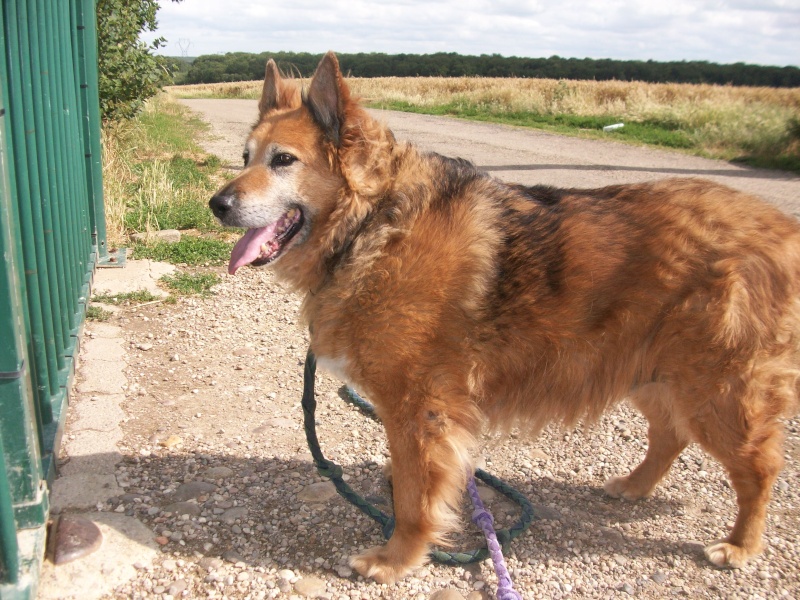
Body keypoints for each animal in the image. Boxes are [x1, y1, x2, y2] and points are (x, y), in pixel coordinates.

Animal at [211, 52, 800, 584]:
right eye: (245, 156)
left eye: (283, 160)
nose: (217, 204)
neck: (372, 222)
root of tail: (780, 226)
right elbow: (412, 482)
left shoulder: (419, 409)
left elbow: (414, 500)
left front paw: (397, 559)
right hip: (653, 371)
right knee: (670, 436)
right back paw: (635, 487)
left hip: (717, 391)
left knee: (759, 468)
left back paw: (741, 545)